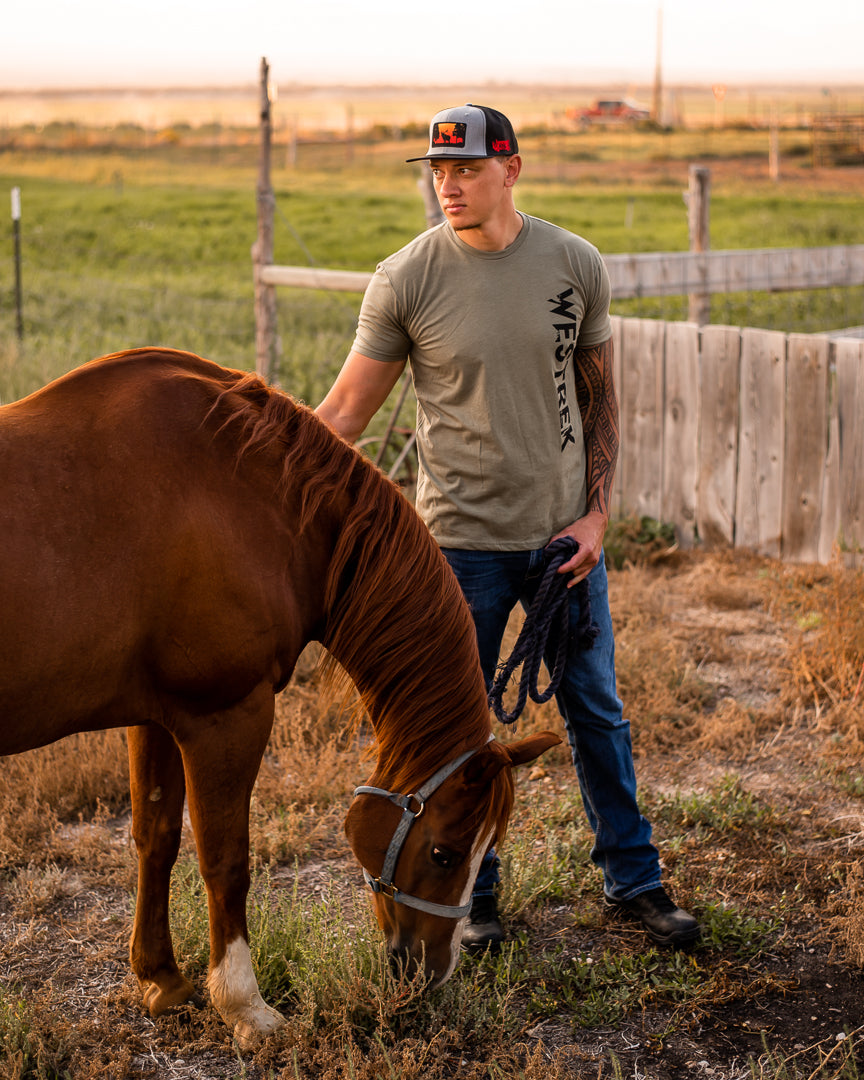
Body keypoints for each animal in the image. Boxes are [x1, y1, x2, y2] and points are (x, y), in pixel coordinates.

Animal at [1, 349, 561, 1049]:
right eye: (445, 852)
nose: (433, 972)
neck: (247, 497)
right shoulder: (225, 716)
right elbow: (226, 860)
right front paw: (246, 1006)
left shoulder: (154, 717)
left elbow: (155, 837)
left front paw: (162, 981)